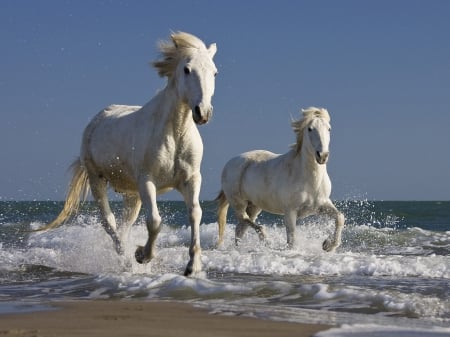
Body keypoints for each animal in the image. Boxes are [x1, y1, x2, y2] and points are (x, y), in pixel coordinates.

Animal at [37, 31, 217, 276]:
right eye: (187, 69)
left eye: (215, 72)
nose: (203, 112)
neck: (175, 132)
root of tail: (98, 118)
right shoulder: (147, 181)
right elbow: (155, 221)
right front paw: (142, 255)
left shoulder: (191, 179)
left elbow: (195, 214)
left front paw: (192, 266)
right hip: (97, 180)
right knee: (109, 222)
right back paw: (125, 260)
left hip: (132, 194)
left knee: (125, 226)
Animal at [216, 106, 342, 251]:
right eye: (310, 129)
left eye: (329, 129)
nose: (322, 156)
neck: (309, 180)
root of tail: (229, 163)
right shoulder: (290, 212)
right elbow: (292, 240)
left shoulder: (322, 205)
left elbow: (340, 217)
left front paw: (328, 245)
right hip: (238, 203)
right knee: (246, 220)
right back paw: (265, 239)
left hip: (254, 206)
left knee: (240, 228)